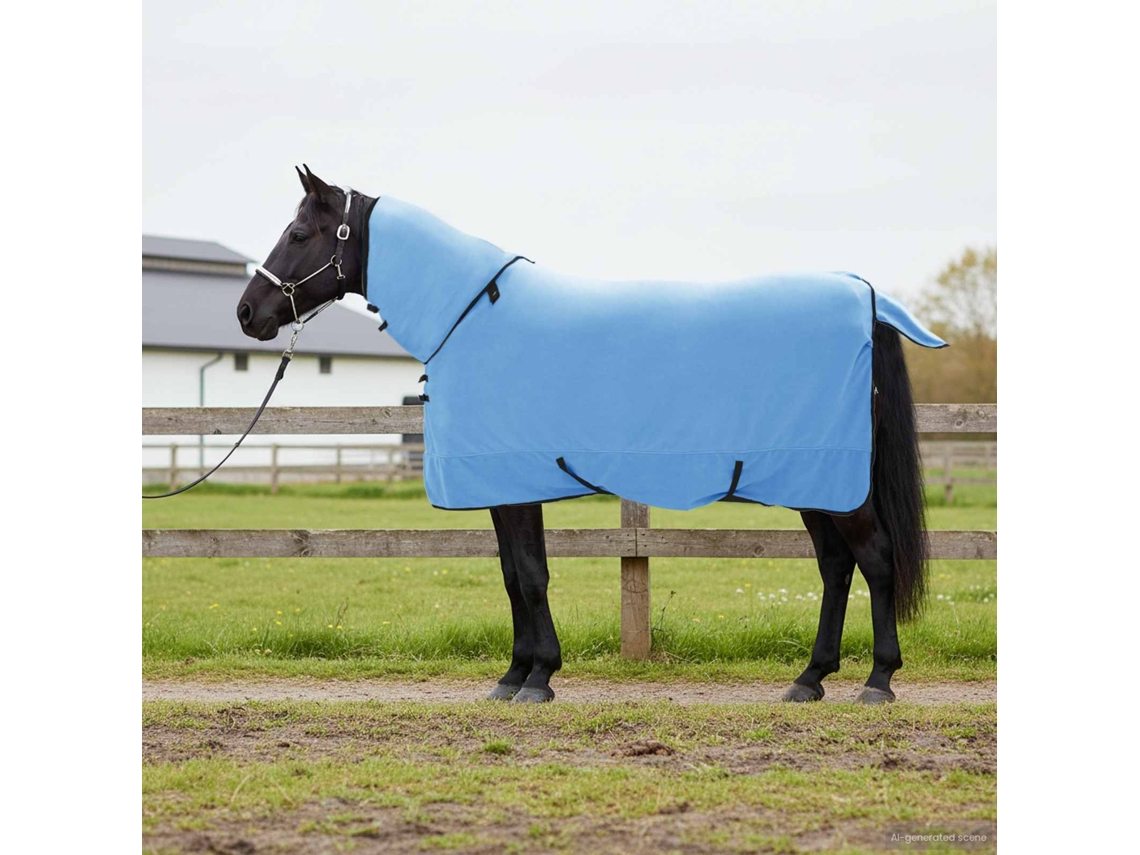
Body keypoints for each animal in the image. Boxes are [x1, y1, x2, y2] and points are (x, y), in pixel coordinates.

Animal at [237, 165, 945, 705]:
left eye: (298, 232)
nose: (248, 313)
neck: (470, 316)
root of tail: (865, 298)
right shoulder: (502, 489)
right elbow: (512, 576)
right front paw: (514, 676)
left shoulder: (516, 484)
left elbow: (530, 576)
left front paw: (538, 679)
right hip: (814, 483)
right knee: (836, 567)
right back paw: (809, 679)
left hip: (836, 484)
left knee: (875, 560)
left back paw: (878, 681)